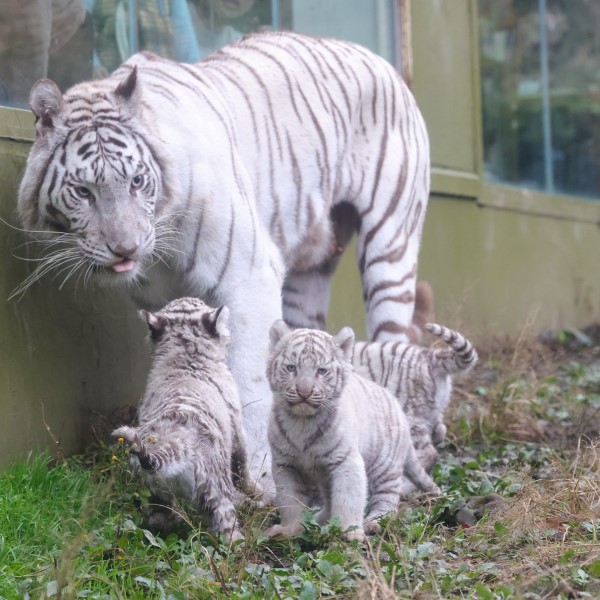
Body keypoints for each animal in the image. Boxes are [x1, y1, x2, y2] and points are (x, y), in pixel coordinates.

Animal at [16, 32, 428, 502]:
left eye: (137, 181)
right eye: (83, 191)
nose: (125, 249)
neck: (162, 240)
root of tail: (375, 57)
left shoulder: (250, 277)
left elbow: (251, 383)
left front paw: (264, 481)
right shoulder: (163, 302)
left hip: (392, 243)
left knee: (392, 337)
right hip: (311, 272)